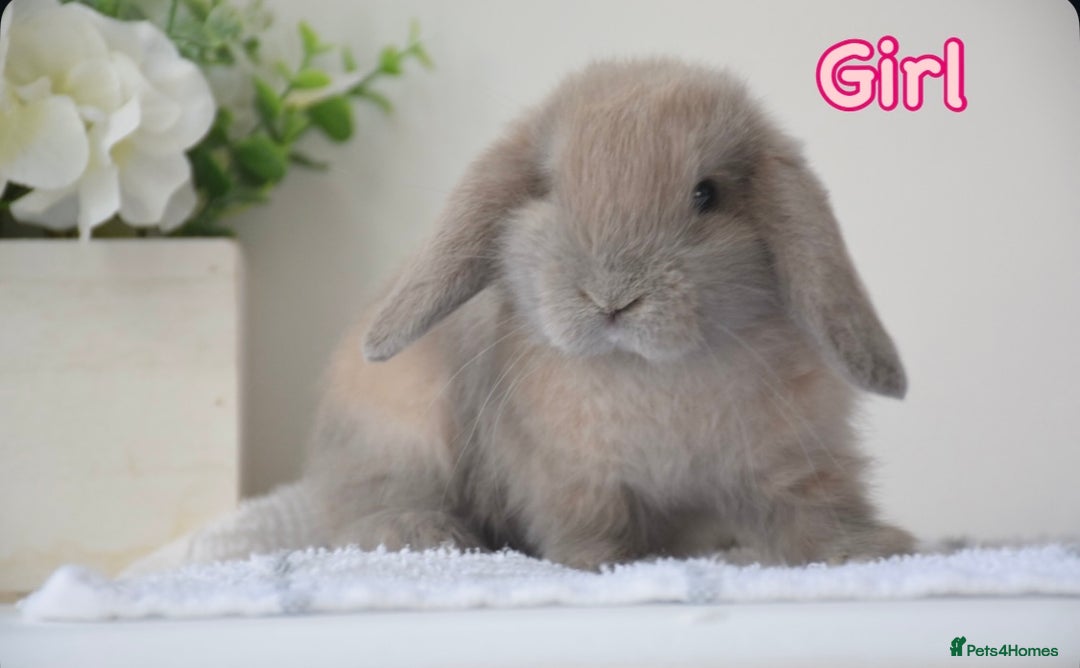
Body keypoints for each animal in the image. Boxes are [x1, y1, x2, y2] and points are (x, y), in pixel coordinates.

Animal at [129, 57, 914, 576]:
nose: (610, 297)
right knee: (366, 503)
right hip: (399, 432)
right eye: (549, 188)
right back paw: (429, 537)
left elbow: (820, 512)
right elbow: (587, 525)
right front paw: (600, 567)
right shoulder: (566, 476)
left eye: (706, 194)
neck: (650, 375)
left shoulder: (798, 460)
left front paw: (875, 550)